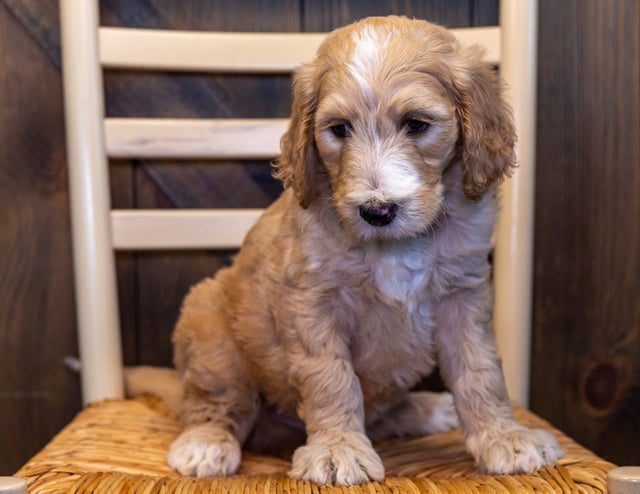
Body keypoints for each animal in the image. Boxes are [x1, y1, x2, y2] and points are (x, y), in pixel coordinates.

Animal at [164, 16, 560, 486]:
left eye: (416, 124)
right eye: (339, 129)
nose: (377, 210)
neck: (394, 245)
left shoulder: (463, 295)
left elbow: (481, 369)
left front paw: (505, 437)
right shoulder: (313, 303)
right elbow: (332, 378)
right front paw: (338, 448)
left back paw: (429, 410)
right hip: (209, 323)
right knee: (218, 400)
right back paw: (206, 443)